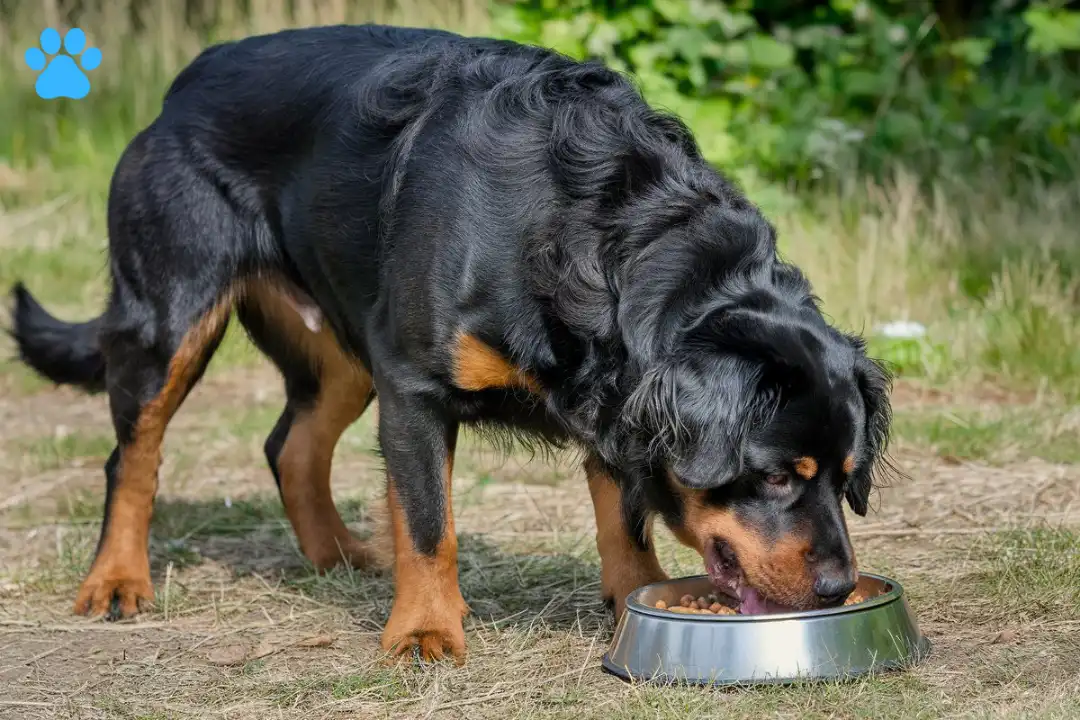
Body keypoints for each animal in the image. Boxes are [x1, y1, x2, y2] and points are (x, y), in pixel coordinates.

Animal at [8, 22, 889, 664]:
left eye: (847, 477)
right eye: (774, 476)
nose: (837, 585)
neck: (597, 234)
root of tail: (183, 85)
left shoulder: (607, 393)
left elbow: (622, 512)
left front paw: (636, 597)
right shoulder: (416, 387)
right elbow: (432, 524)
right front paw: (426, 631)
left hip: (343, 350)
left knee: (292, 444)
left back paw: (338, 556)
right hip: (170, 319)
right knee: (134, 455)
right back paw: (118, 580)